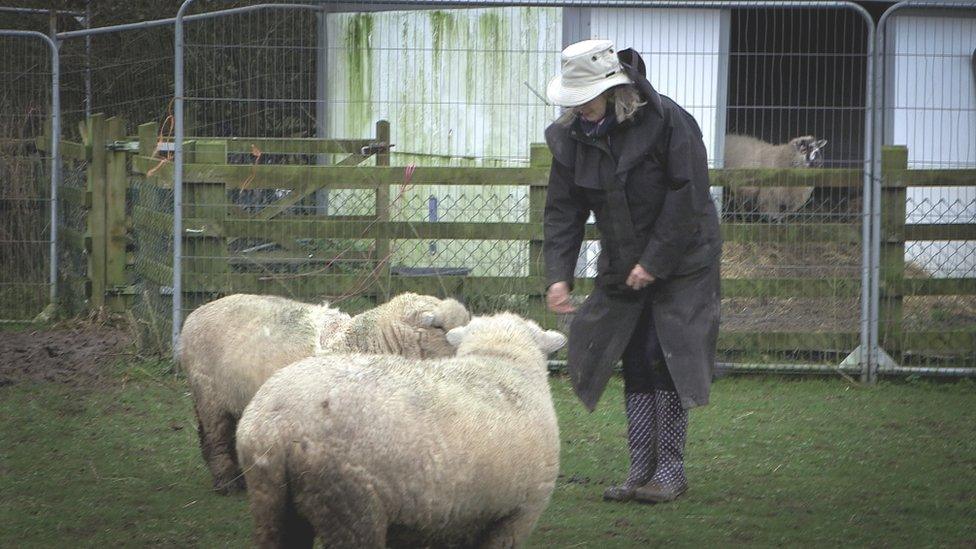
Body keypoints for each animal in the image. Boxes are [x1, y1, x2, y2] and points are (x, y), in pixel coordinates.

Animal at [181, 292, 474, 492]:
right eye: (439, 327)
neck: (362, 340)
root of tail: (194, 315)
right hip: (209, 396)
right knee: (216, 436)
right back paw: (226, 481)